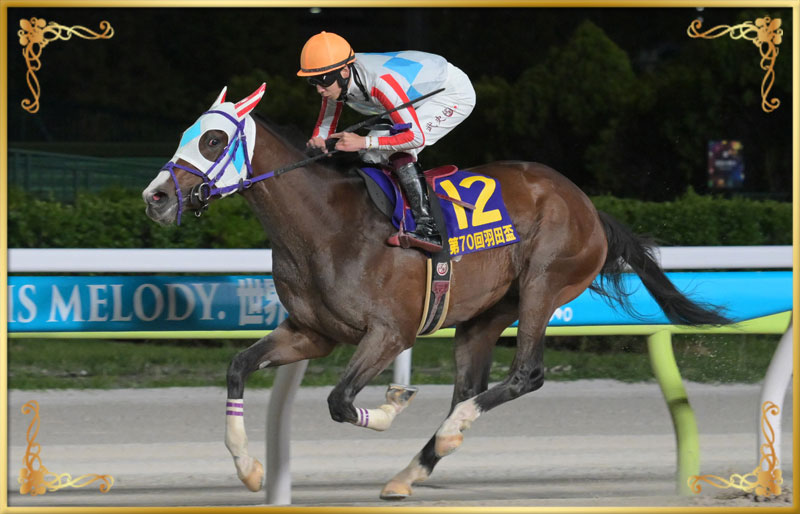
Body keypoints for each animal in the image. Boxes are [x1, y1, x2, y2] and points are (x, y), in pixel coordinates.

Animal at [142, 84, 730, 500]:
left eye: (213, 140)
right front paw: (248, 469)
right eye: (188, 134)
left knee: (525, 374)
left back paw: (451, 431)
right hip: (483, 314)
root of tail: (587, 204)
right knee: (471, 386)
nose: (156, 197)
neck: (326, 225)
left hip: (543, 284)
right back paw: (410, 470)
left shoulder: (390, 332)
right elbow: (239, 367)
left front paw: (390, 405)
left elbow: (339, 401)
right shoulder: (311, 332)